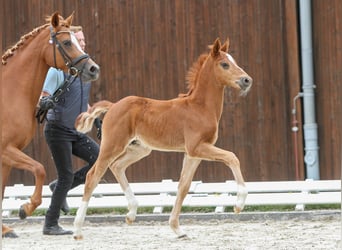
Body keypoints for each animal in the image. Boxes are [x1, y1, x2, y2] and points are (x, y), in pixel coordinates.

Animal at [1, 12, 100, 238]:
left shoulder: (7, 156)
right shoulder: (6, 150)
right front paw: (25, 208)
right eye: (67, 42)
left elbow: (1, 189)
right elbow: (40, 169)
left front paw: (5, 229)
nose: (93, 69)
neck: (9, 93)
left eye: (78, 42)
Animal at [74, 38, 251, 239]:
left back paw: (131, 213)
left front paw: (177, 228)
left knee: (117, 166)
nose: (247, 80)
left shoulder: (193, 154)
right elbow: (232, 157)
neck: (199, 108)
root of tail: (112, 106)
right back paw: (78, 230)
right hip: (112, 146)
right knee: (93, 176)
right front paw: (239, 204)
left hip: (140, 149)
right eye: (224, 64)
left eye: (234, 61)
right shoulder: (197, 147)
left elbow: (183, 186)